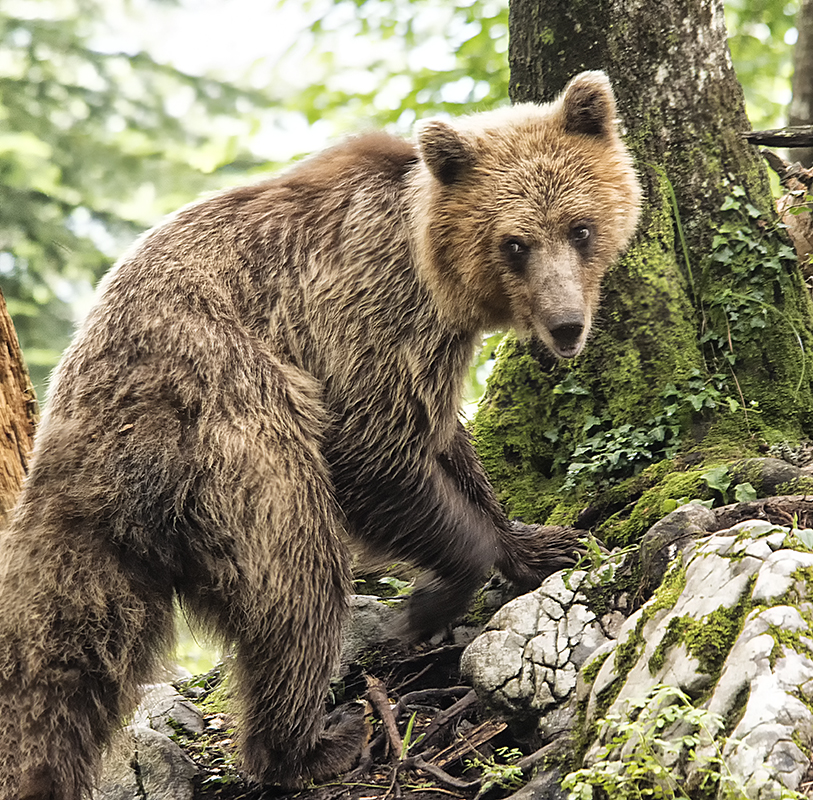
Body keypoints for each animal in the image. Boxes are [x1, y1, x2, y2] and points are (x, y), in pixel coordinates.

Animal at [0, 72, 640, 796]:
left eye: (580, 228)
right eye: (514, 244)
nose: (565, 326)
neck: (432, 267)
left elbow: (446, 444)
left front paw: (538, 543)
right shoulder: (366, 312)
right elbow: (375, 450)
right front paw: (431, 601)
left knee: (65, 659)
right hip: (231, 426)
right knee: (300, 576)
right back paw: (313, 742)